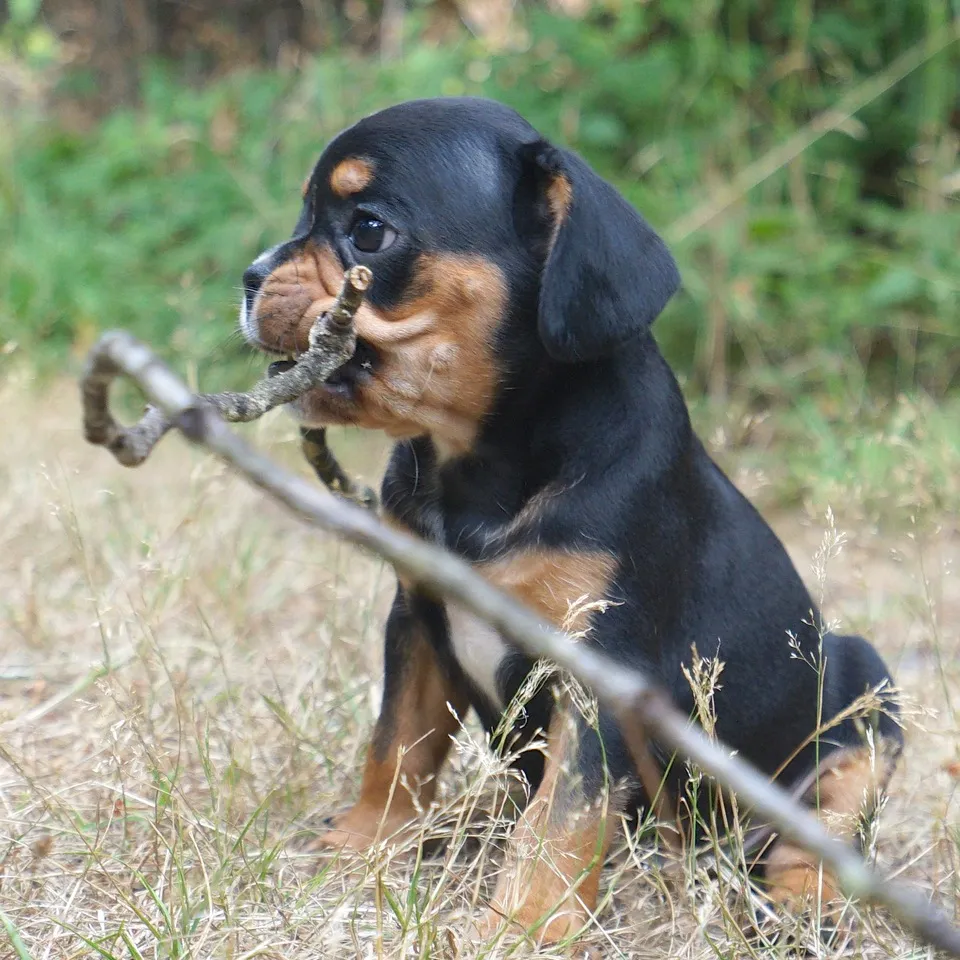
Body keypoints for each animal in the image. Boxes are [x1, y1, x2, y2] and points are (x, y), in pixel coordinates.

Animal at [239, 97, 902, 944]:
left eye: (370, 230)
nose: (249, 278)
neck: (477, 466)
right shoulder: (417, 619)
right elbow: (396, 748)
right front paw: (362, 845)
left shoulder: (600, 668)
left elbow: (565, 811)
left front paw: (525, 924)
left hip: (868, 698)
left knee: (824, 829)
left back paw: (798, 897)